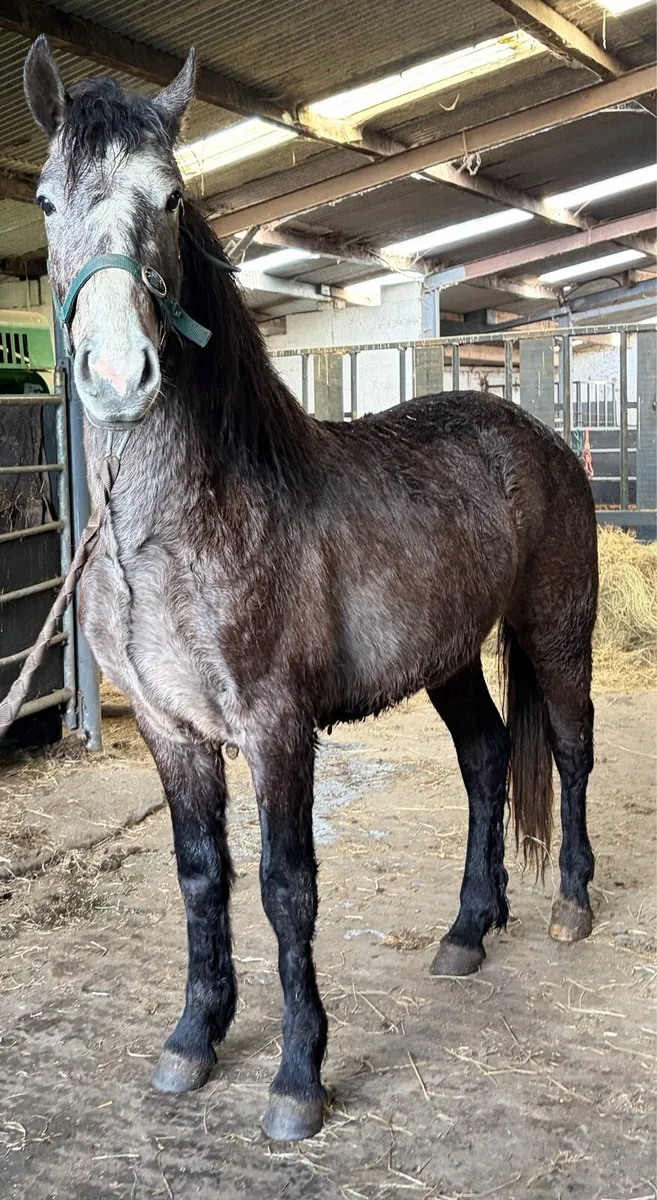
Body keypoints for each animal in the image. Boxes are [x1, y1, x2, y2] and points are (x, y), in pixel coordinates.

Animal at [23, 37, 598, 1142]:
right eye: (43, 198)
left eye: (168, 198)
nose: (119, 375)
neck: (184, 524)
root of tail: (532, 432)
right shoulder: (170, 730)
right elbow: (202, 878)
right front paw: (194, 1039)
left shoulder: (276, 726)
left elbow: (287, 888)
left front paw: (297, 1078)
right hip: (449, 655)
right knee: (486, 758)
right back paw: (469, 928)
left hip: (556, 629)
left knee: (568, 748)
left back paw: (571, 906)